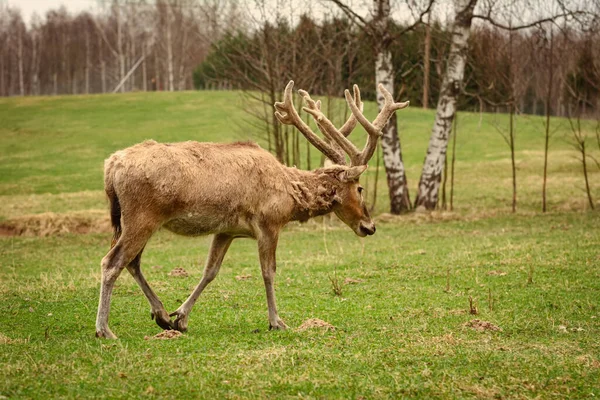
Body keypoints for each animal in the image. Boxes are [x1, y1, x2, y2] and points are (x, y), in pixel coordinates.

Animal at [96, 80, 410, 338]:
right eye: (360, 188)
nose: (370, 226)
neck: (289, 195)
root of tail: (110, 166)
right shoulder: (269, 222)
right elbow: (268, 271)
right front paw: (277, 321)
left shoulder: (226, 230)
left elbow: (210, 271)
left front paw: (180, 318)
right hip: (142, 215)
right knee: (112, 261)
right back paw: (104, 329)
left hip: (127, 220)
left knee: (132, 262)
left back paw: (160, 314)